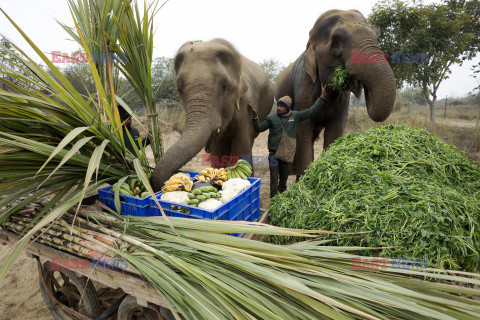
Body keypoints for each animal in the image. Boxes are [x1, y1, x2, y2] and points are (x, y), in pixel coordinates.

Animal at [276, 9, 396, 180]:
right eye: (336, 42)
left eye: (377, 36)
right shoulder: (304, 86)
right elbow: (303, 130)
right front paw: (304, 181)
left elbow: (335, 131)